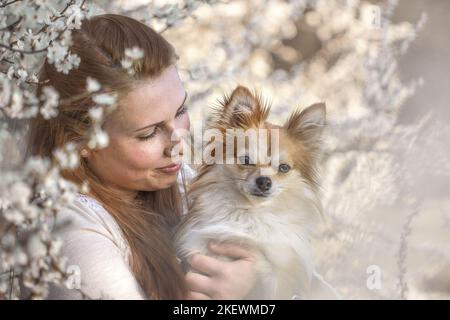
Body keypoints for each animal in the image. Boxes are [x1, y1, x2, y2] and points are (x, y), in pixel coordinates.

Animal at [172, 85, 338, 300]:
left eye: (284, 168)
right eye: (246, 160)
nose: (264, 181)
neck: (250, 213)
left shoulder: (283, 275)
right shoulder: (198, 253)